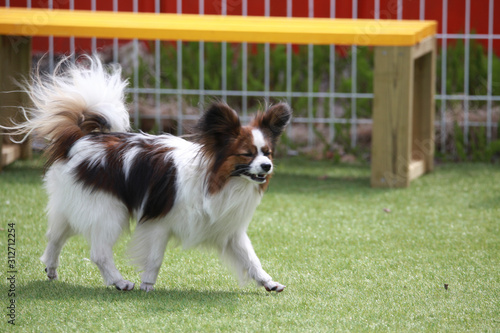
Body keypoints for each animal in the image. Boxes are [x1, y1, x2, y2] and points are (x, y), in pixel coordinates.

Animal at [4, 56, 290, 290]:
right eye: (247, 154)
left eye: (267, 153)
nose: (267, 167)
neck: (217, 180)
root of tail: (79, 139)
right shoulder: (158, 222)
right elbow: (154, 259)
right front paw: (147, 287)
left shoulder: (229, 231)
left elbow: (251, 258)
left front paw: (268, 282)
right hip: (109, 210)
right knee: (98, 252)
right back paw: (119, 282)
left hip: (73, 205)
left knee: (54, 237)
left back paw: (51, 269)